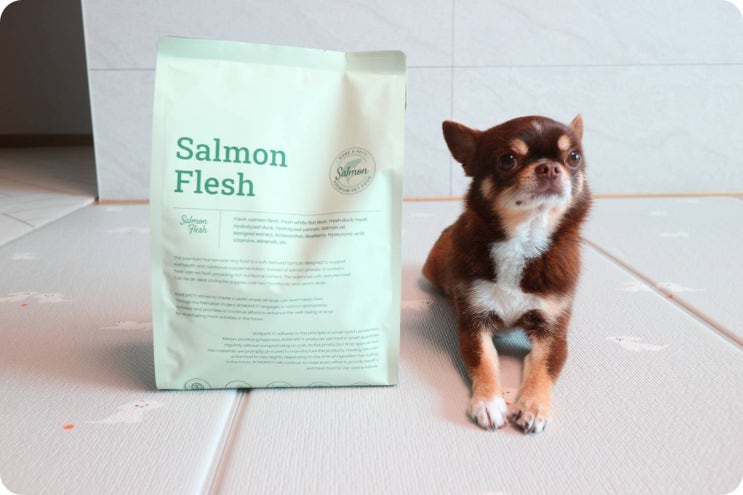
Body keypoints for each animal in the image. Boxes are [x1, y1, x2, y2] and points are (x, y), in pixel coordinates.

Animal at [422, 115, 591, 433]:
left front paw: (533, 406)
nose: (550, 166)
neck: (524, 239)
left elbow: (542, 370)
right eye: (507, 160)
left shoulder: (553, 334)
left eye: (574, 157)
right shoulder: (474, 324)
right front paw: (488, 402)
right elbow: (485, 363)